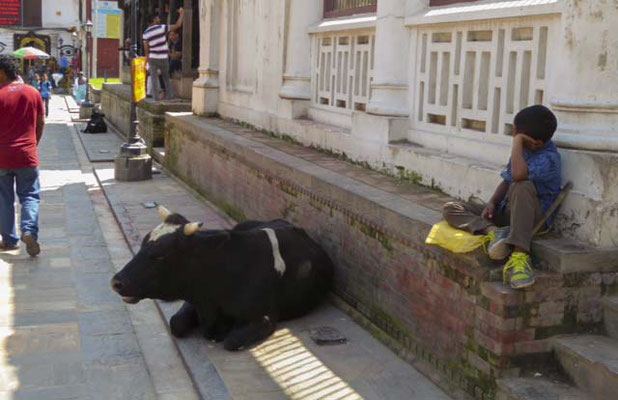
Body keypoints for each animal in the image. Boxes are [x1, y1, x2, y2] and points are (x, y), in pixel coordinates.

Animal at [110, 206, 332, 350]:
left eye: (160, 255)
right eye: (143, 243)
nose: (116, 282)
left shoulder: (266, 317)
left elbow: (232, 341)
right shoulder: (195, 297)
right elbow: (176, 323)